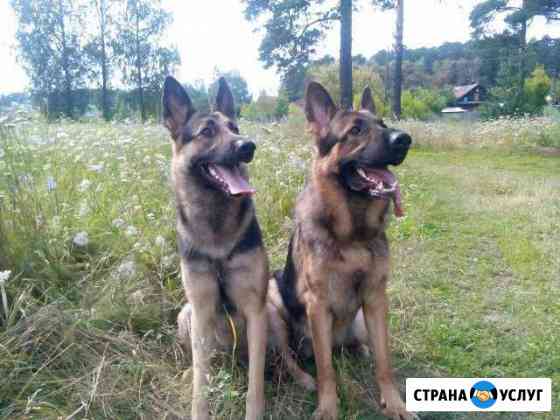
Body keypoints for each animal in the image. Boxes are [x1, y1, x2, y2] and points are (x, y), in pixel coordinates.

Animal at [162, 76, 269, 420]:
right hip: (187, 315)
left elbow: (255, 383)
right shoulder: (201, 308)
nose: (247, 146)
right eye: (207, 131)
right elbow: (201, 380)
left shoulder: (256, 311)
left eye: (234, 127)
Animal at [266, 81, 416, 420]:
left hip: (360, 321)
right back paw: (304, 377)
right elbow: (326, 370)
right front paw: (327, 408)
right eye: (355, 130)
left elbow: (385, 363)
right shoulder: (318, 306)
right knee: (293, 356)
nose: (404, 139)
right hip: (273, 297)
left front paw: (394, 404)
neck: (353, 236)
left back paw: (358, 349)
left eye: (383, 124)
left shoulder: (376, 299)